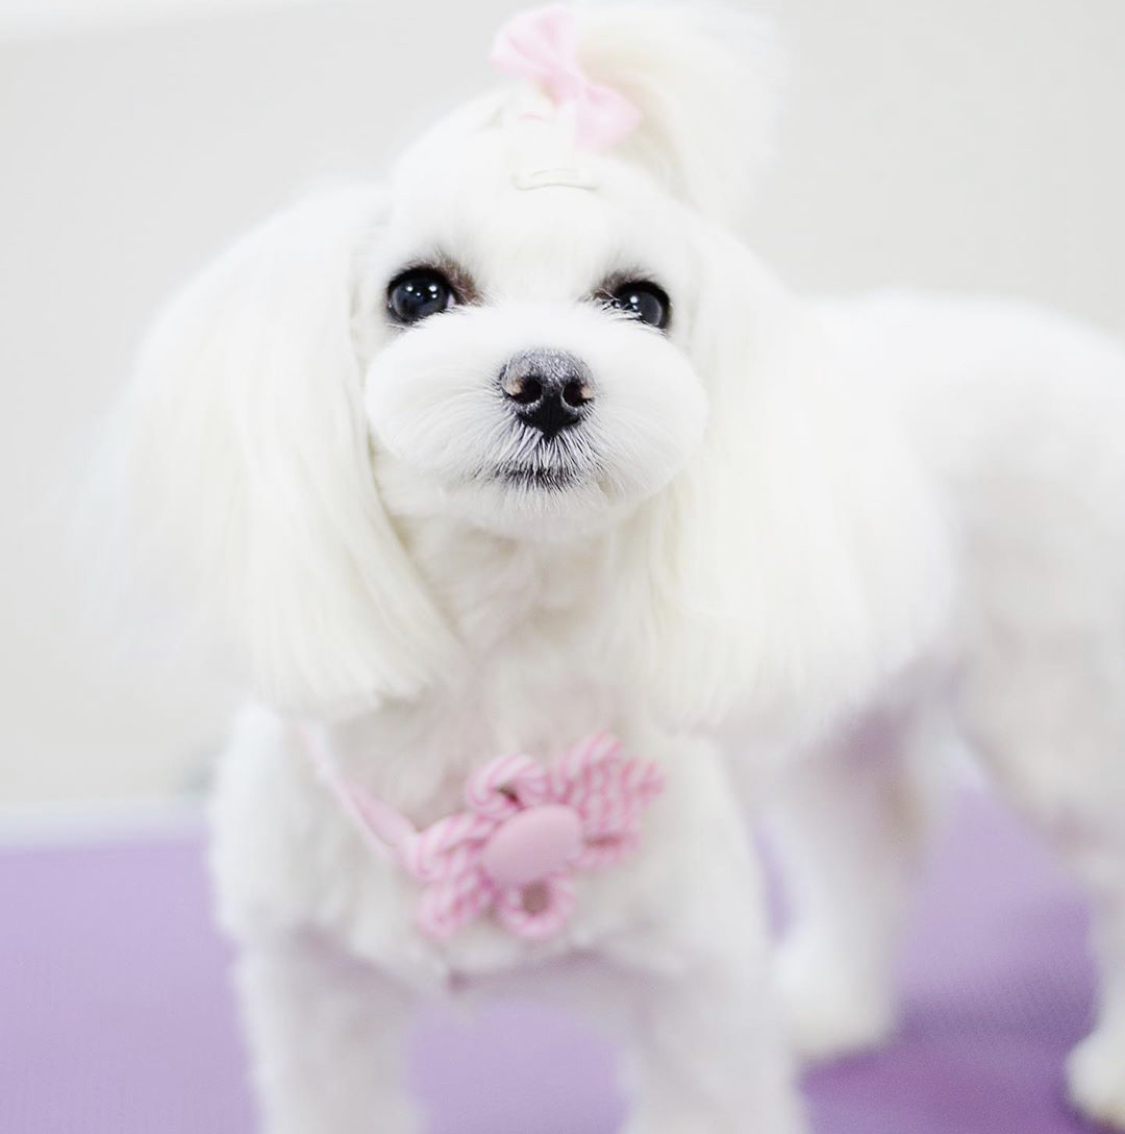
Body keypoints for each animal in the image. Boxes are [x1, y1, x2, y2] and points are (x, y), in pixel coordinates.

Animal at [105, 2, 1125, 1134]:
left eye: (640, 302)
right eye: (417, 292)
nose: (549, 381)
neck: (499, 667)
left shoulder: (697, 996)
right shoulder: (314, 998)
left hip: (1062, 718)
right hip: (844, 723)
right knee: (870, 842)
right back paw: (829, 1002)